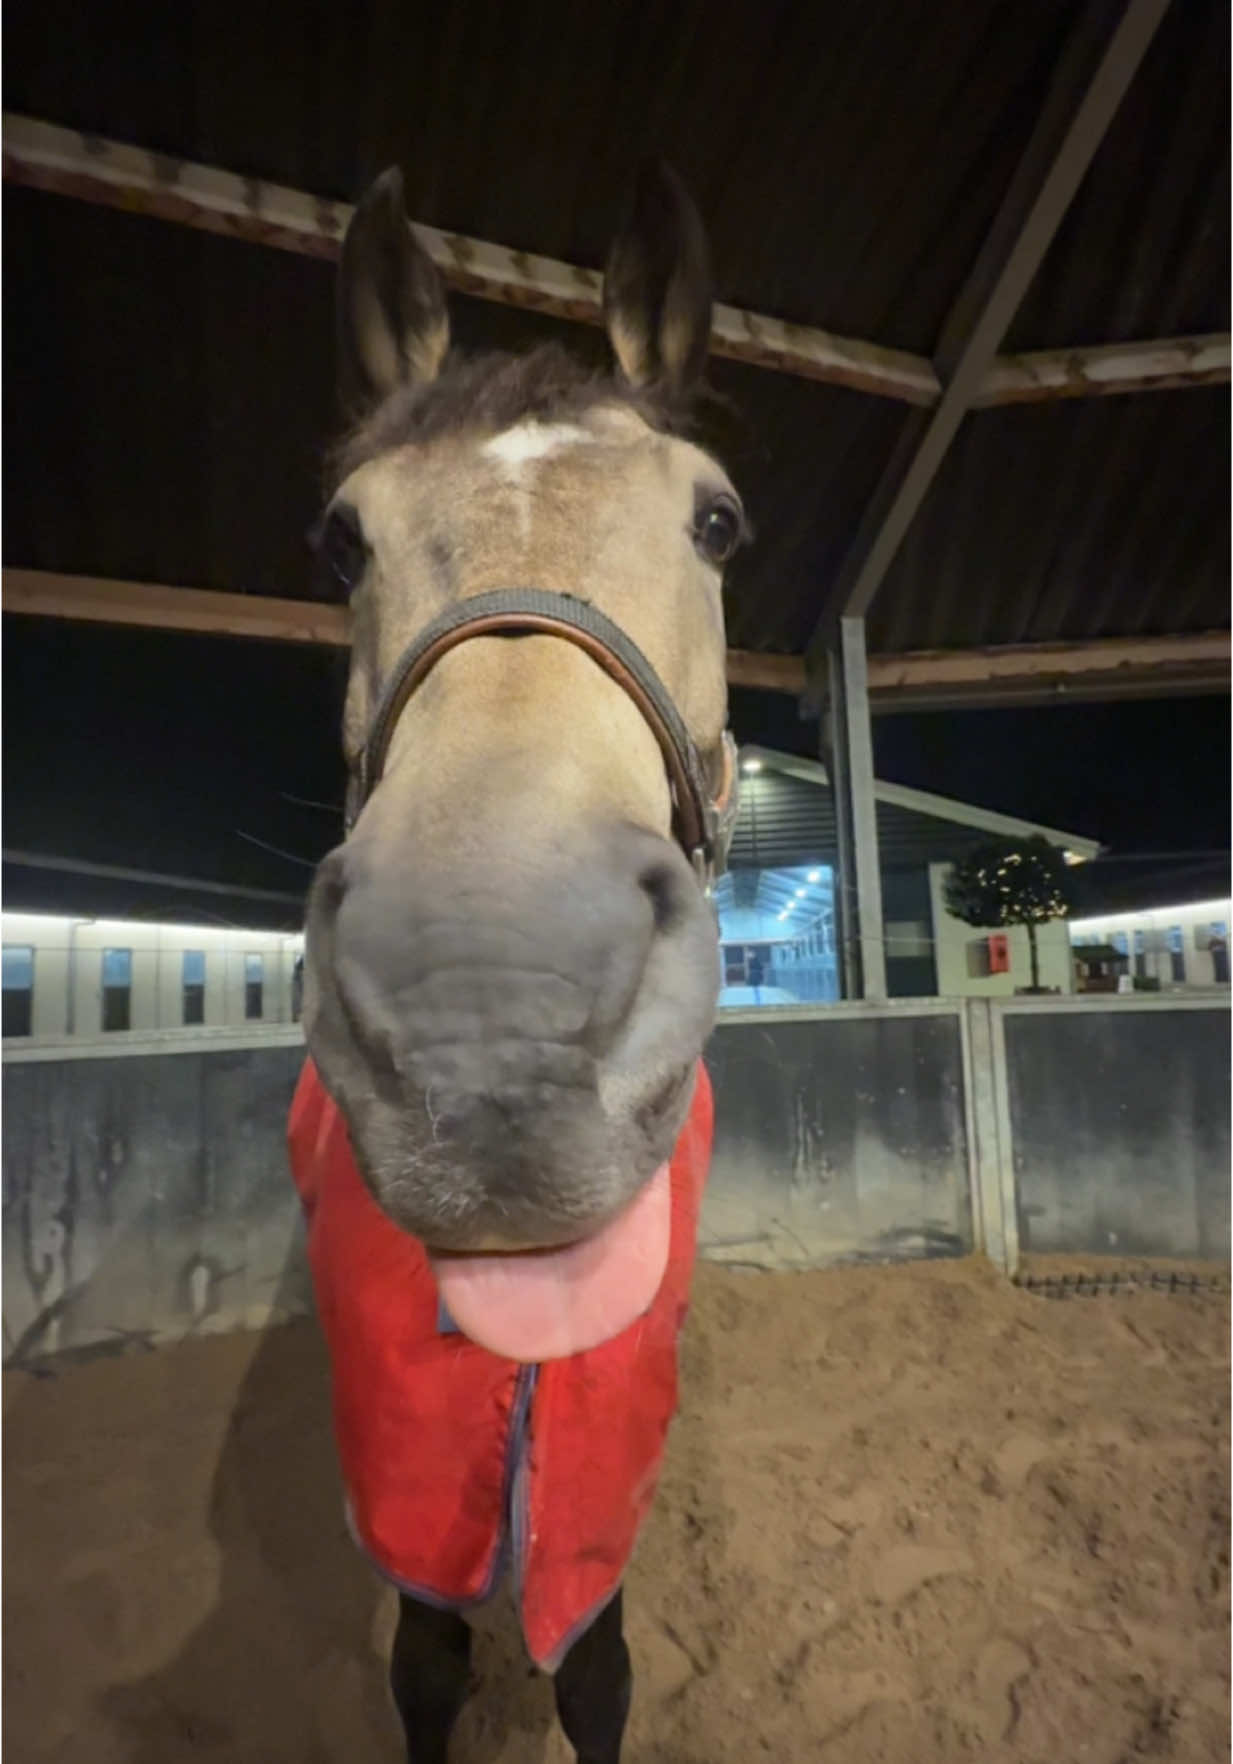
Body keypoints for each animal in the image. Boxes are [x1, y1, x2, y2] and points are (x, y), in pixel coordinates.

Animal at [293, 159, 745, 1764]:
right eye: (341, 538)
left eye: (719, 524)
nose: (489, 1021)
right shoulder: (397, 1462)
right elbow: (425, 1662)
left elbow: (593, 1668)